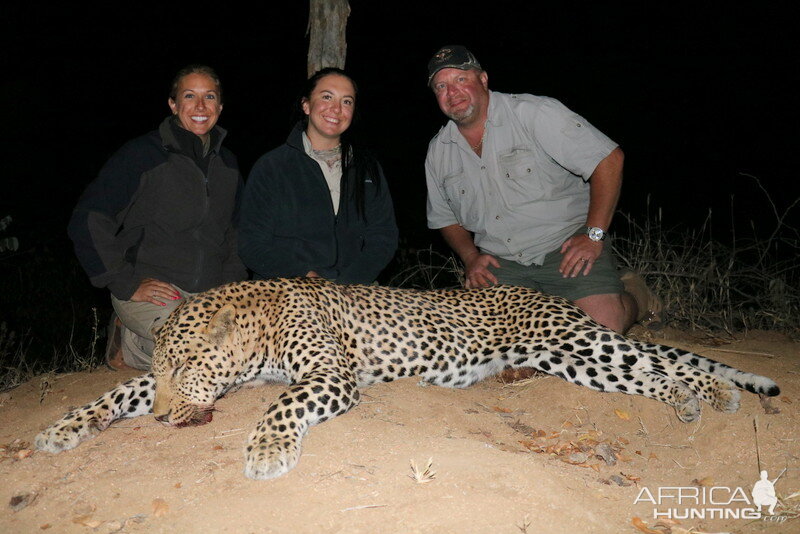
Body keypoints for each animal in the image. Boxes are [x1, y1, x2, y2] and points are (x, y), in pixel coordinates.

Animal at [34, 280, 780, 482]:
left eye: (188, 366)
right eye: (162, 369)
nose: (164, 419)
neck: (258, 325)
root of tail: (541, 293)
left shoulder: (331, 374)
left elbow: (283, 404)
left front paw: (268, 450)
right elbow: (114, 395)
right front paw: (62, 428)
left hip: (576, 341)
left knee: (666, 362)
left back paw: (711, 395)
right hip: (568, 360)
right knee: (651, 369)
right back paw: (702, 398)